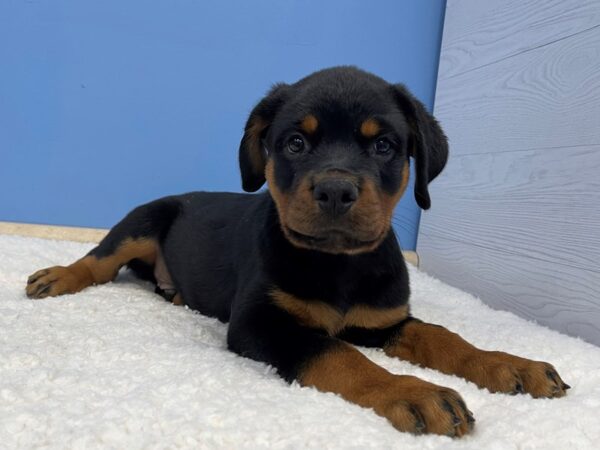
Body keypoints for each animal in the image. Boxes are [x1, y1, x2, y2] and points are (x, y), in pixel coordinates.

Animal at [25, 67, 568, 436]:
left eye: (385, 146)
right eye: (294, 143)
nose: (335, 190)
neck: (339, 265)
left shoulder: (383, 321)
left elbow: (442, 336)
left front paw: (509, 366)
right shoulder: (263, 324)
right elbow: (338, 353)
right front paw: (414, 392)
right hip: (143, 219)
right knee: (98, 261)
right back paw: (56, 277)